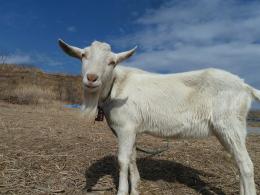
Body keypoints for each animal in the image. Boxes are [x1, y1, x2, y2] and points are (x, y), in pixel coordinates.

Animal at [59, 39, 260, 195]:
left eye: (112, 62)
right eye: (83, 56)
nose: (92, 78)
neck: (116, 86)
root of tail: (246, 86)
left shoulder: (125, 127)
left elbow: (123, 160)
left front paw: (123, 191)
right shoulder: (132, 129)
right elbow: (132, 157)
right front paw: (136, 188)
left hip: (229, 124)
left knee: (246, 165)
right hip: (230, 129)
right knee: (238, 162)